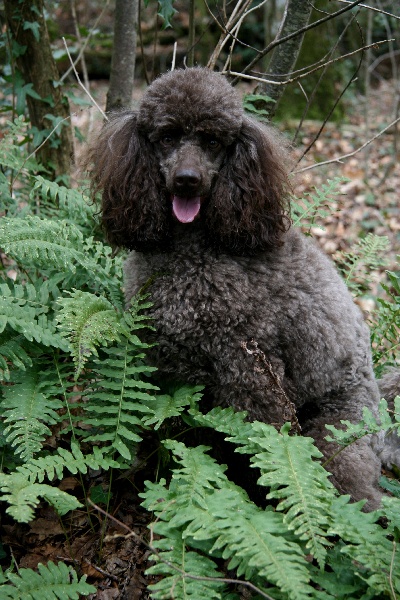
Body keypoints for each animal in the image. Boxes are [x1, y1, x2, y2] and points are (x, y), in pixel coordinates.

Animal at [89, 68, 398, 508]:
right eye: (166, 136)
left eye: (213, 142)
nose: (187, 181)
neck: (194, 248)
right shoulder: (162, 362)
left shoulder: (249, 370)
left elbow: (259, 443)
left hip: (337, 432)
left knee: (355, 491)